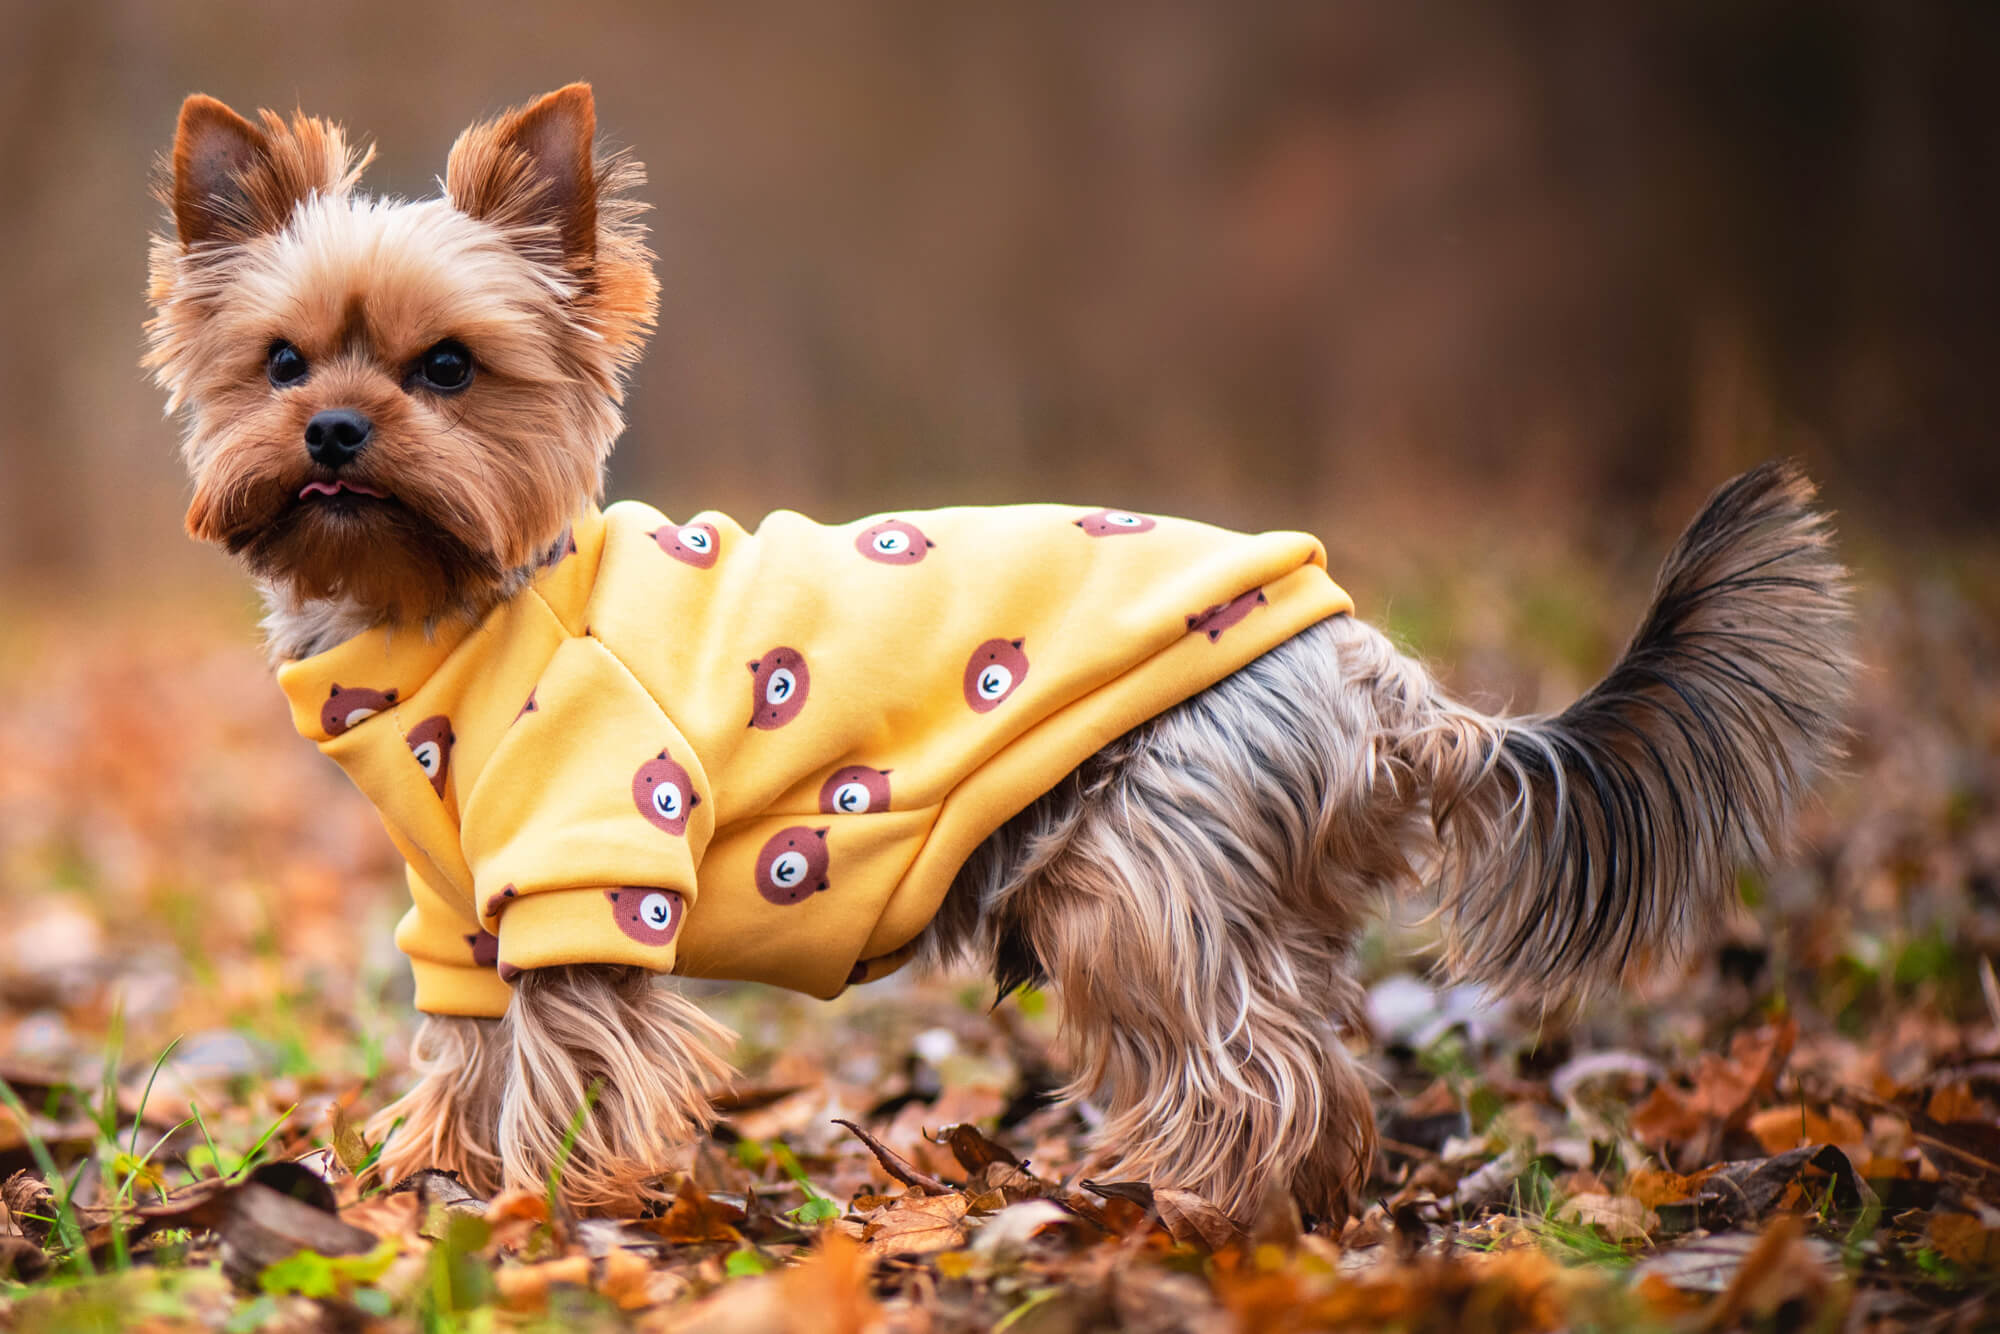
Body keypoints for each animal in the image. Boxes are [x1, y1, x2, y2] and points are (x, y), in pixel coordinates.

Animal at [148, 83, 1848, 1224]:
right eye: (281, 364)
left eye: (447, 367)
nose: (336, 430)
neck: (444, 606)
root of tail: (1371, 667)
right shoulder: (460, 903)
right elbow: (467, 1050)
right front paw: (428, 1182)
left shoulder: (590, 857)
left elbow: (565, 1055)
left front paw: (535, 1208)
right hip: (1241, 886)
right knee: (1318, 1052)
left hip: (1137, 874)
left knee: (1252, 1058)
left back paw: (1198, 1205)